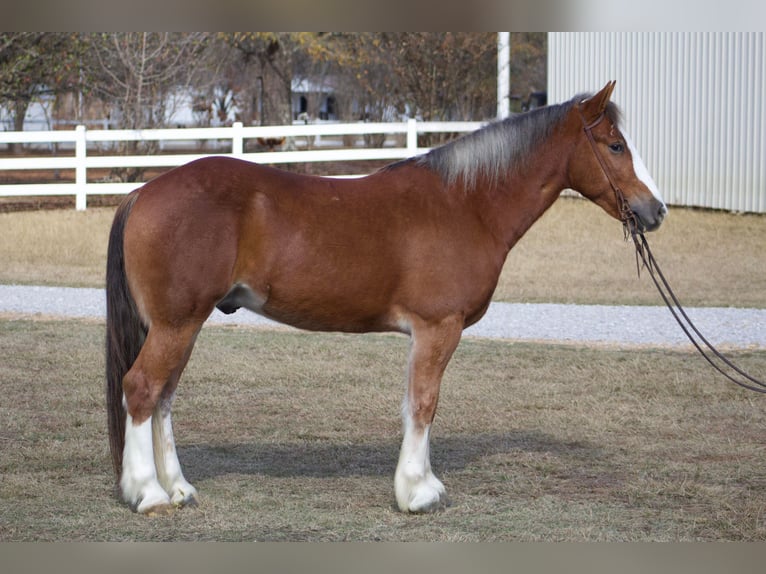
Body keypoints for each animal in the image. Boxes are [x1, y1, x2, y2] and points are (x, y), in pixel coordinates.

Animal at [106, 81, 664, 516]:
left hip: (182, 325)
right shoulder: (437, 328)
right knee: (142, 389)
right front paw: (417, 493)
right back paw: (149, 494)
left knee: (163, 398)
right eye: (615, 145)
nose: (655, 210)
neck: (467, 204)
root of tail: (144, 192)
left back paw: (179, 488)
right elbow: (423, 403)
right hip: (178, 324)